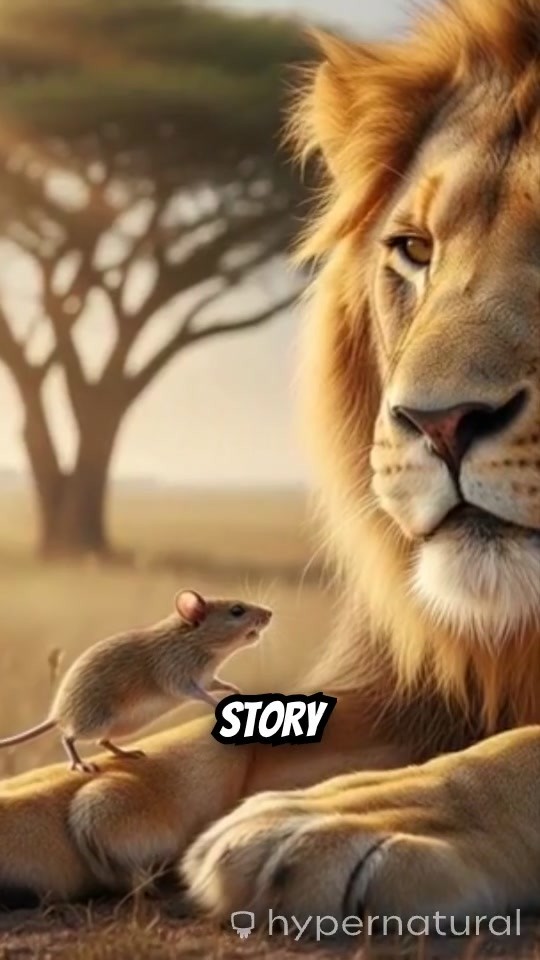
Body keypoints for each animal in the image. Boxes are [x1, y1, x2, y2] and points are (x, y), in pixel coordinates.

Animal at [1, 0, 540, 926]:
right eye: (414, 248)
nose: (437, 424)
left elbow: (517, 755)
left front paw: (351, 815)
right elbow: (231, 727)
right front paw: (81, 793)